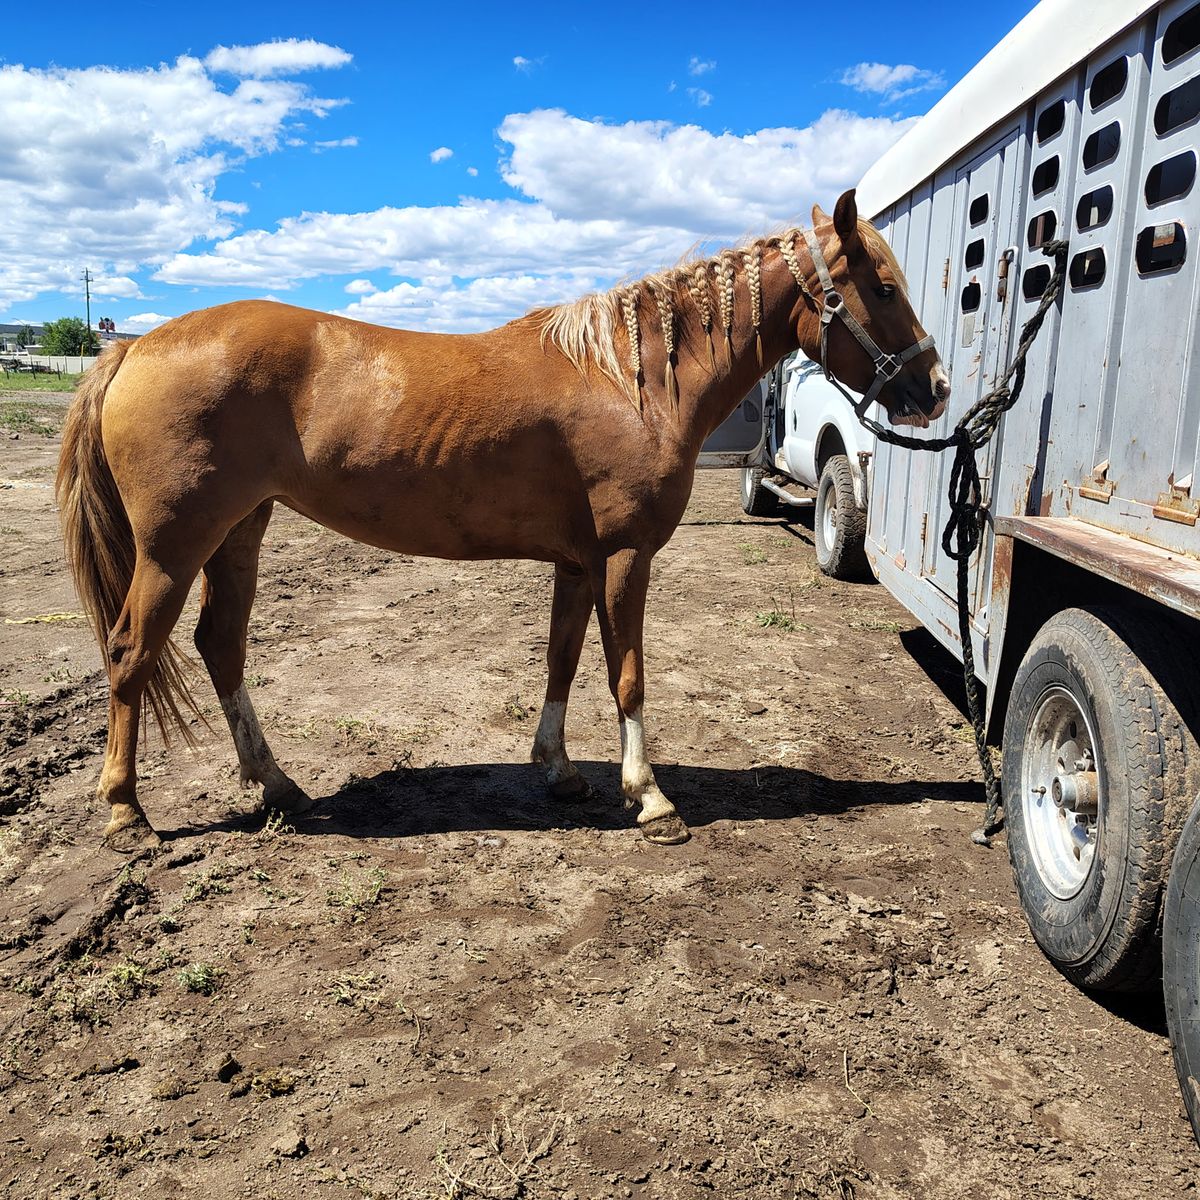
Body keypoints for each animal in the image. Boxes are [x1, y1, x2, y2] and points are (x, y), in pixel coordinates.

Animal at [57, 189, 949, 852]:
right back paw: (126, 811)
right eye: (883, 288)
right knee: (132, 650)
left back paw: (279, 786)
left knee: (220, 645)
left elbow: (562, 661)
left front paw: (561, 771)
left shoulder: (578, 562)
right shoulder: (624, 556)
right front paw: (651, 798)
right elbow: (628, 673)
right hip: (173, 545)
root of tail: (133, 348)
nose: (936, 390)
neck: (627, 380)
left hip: (239, 532)